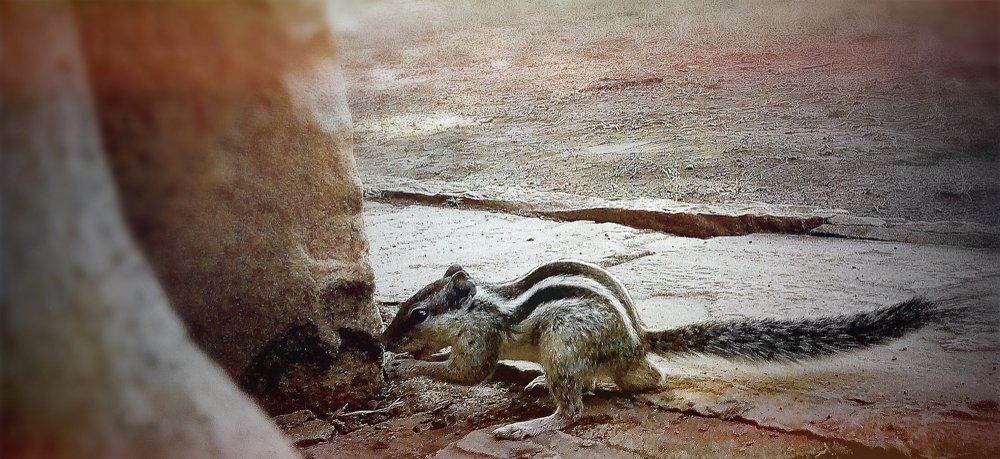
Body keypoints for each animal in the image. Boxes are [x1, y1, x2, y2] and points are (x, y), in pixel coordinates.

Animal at [381, 259, 944, 440]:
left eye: (418, 314)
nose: (383, 339)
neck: (483, 304)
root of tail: (636, 340)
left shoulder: (482, 338)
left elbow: (468, 373)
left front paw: (404, 366)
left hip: (566, 343)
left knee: (573, 411)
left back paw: (528, 425)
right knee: (632, 380)